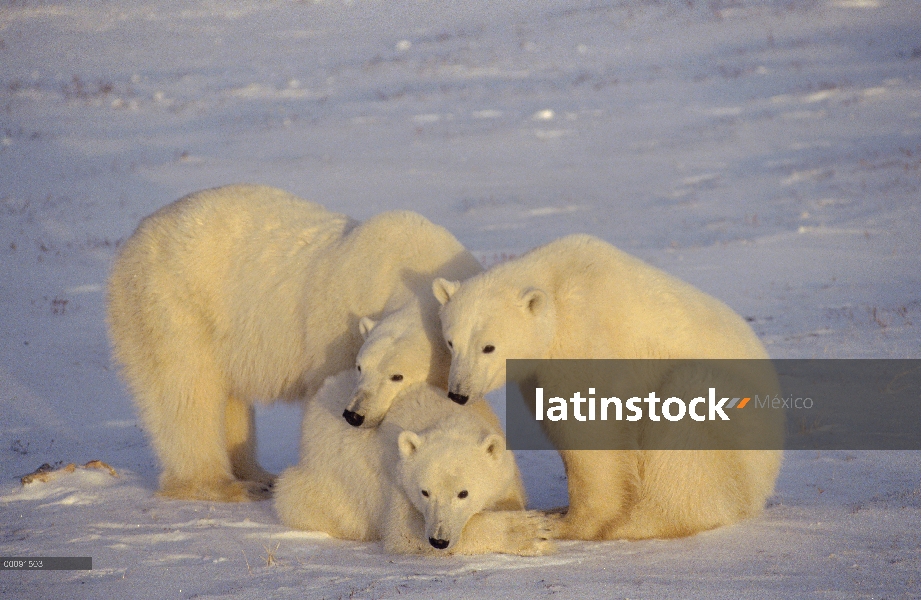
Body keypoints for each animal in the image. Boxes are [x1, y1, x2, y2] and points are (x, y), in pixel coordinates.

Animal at [108, 183, 482, 502]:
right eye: (361, 368)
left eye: (397, 376)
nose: (355, 415)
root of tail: (135, 237)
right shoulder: (340, 332)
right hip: (172, 305)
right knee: (186, 392)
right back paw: (222, 485)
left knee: (229, 397)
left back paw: (258, 475)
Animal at [270, 370, 548, 556]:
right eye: (424, 492)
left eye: (463, 493)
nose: (438, 540)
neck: (442, 415)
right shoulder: (395, 476)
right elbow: (404, 530)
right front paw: (533, 532)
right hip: (320, 485)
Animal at [434, 236, 784, 544]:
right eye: (451, 342)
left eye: (489, 346)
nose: (459, 393)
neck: (556, 282)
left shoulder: (585, 336)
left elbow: (591, 429)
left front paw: (569, 524)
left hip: (734, 433)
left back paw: (634, 523)